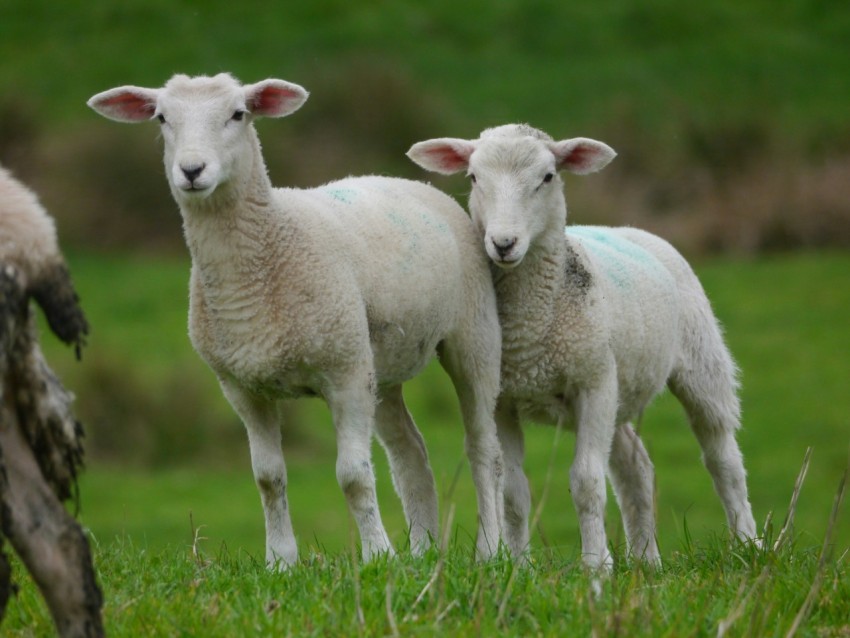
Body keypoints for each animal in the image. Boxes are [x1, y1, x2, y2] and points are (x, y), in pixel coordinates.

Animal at [88, 72, 504, 568]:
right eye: (161, 118)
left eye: (238, 114)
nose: (191, 170)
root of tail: (405, 180)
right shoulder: (240, 387)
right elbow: (268, 477)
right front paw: (281, 562)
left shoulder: (345, 374)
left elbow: (353, 475)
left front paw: (377, 556)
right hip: (378, 363)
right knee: (410, 452)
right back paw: (421, 550)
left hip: (471, 335)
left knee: (483, 447)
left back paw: (492, 550)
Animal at [410, 124, 756, 568]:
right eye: (473, 177)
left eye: (547, 177)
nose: (503, 243)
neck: (532, 328)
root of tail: (626, 228)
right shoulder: (505, 399)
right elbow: (513, 492)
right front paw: (518, 566)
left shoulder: (592, 384)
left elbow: (587, 482)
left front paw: (596, 565)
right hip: (617, 386)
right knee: (636, 465)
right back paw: (647, 561)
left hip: (698, 361)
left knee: (723, 458)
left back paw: (750, 544)